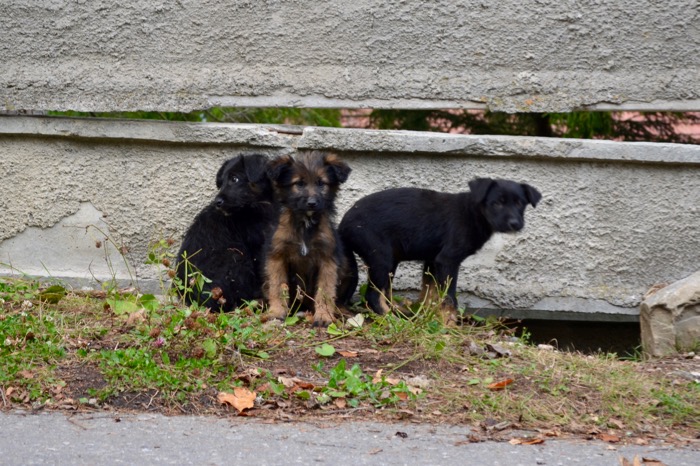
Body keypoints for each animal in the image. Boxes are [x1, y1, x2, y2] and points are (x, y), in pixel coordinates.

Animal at [263, 151, 352, 327]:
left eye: (321, 183)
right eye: (299, 183)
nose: (312, 203)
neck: (305, 224)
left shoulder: (327, 259)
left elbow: (325, 291)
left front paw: (324, 316)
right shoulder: (277, 256)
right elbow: (278, 287)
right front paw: (277, 312)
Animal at [338, 178, 541, 320]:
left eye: (520, 203)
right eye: (497, 203)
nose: (515, 224)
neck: (473, 211)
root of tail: (343, 226)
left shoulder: (432, 261)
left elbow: (431, 293)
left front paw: (429, 316)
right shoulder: (448, 260)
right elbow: (449, 297)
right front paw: (449, 323)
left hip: (390, 260)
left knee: (385, 291)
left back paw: (399, 312)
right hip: (381, 257)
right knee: (373, 295)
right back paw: (391, 318)